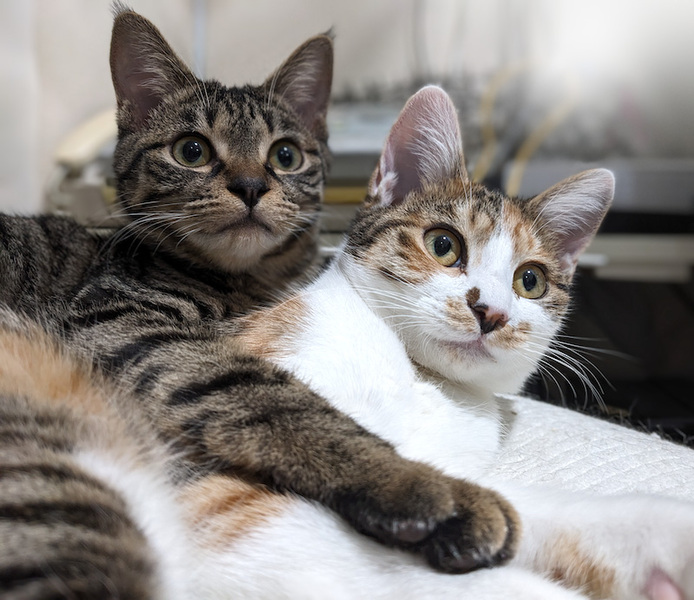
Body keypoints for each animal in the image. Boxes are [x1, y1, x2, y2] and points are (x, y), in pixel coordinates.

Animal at [0, 7, 524, 594]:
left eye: (285, 155)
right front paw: (423, 486)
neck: (255, 279)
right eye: (191, 151)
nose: (251, 185)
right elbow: (280, 401)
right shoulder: (126, 325)